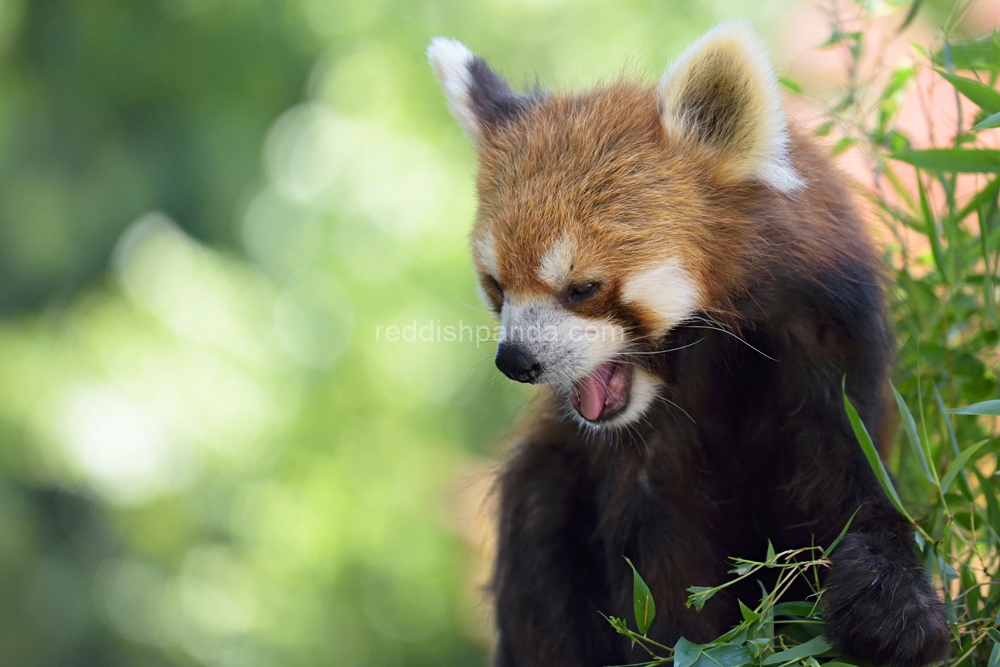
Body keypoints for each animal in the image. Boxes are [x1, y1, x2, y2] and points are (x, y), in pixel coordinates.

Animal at [426, 20, 948, 667]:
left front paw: (893, 611)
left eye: (583, 287)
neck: (711, 350)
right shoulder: (641, 455)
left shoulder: (829, 344)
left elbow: (846, 485)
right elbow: (663, 574)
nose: (516, 361)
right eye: (496, 286)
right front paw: (693, 645)